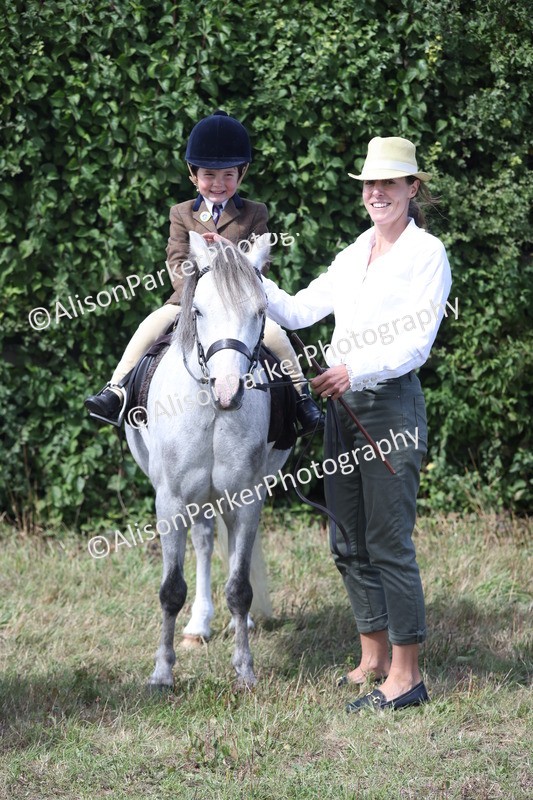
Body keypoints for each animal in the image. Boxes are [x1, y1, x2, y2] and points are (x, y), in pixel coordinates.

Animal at [126, 231, 291, 688]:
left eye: (260, 311)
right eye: (198, 310)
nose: (228, 391)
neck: (212, 410)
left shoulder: (248, 497)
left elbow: (240, 587)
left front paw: (245, 670)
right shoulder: (170, 501)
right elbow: (171, 590)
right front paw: (162, 674)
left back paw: (238, 624)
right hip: (196, 497)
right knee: (202, 542)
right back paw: (198, 625)